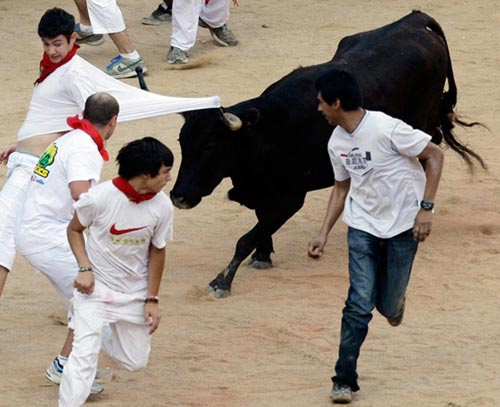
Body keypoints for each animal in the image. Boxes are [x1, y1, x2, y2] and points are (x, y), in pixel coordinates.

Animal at [171, 11, 484, 298]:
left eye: (211, 146)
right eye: (181, 143)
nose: (178, 196)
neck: (266, 132)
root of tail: (415, 18)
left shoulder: (290, 198)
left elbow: (247, 238)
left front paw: (222, 281)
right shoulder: (264, 192)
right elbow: (261, 225)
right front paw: (263, 256)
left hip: (422, 122)